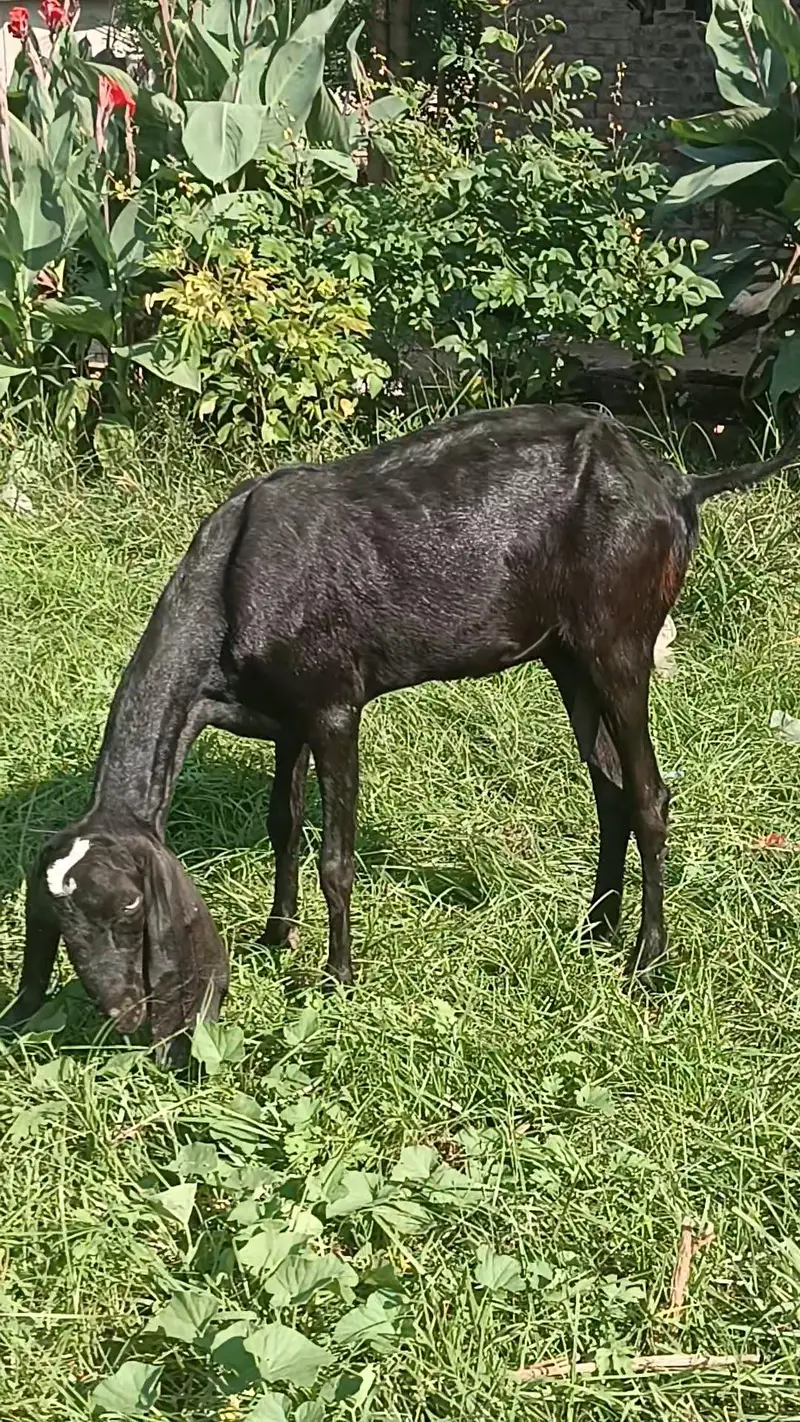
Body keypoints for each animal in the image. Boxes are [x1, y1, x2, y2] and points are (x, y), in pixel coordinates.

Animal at [1, 405, 795, 1058]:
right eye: (63, 924)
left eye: (131, 906)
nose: (125, 1014)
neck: (235, 579)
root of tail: (675, 484)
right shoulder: (284, 719)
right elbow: (282, 822)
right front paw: (276, 935)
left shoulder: (333, 707)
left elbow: (334, 858)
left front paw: (335, 977)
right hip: (567, 656)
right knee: (610, 789)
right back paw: (594, 928)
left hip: (620, 642)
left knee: (650, 795)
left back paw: (646, 960)